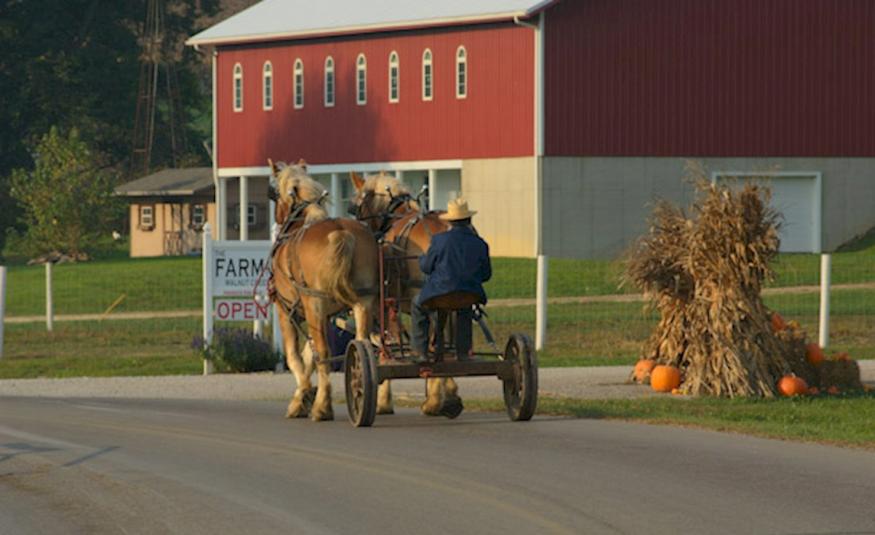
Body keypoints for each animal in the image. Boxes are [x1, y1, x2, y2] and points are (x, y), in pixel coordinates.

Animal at [266, 161, 376, 420]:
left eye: (275, 194)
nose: (279, 219)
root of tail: (341, 232)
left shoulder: (287, 310)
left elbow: (295, 357)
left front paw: (303, 397)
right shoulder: (325, 315)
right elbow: (309, 356)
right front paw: (304, 395)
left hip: (313, 303)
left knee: (324, 354)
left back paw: (322, 407)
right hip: (363, 301)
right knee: (360, 345)